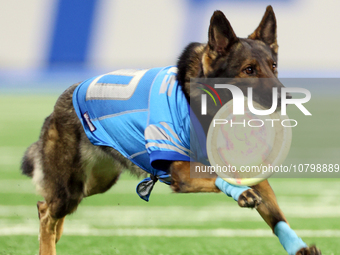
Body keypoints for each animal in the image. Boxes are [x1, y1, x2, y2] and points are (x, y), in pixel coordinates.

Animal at [21, 5, 322, 255]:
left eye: (273, 66)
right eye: (249, 70)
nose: (288, 99)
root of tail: (64, 99)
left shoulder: (250, 173)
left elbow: (277, 216)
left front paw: (299, 248)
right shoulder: (181, 169)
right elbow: (216, 177)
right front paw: (241, 193)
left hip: (96, 182)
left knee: (46, 208)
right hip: (71, 187)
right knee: (48, 213)